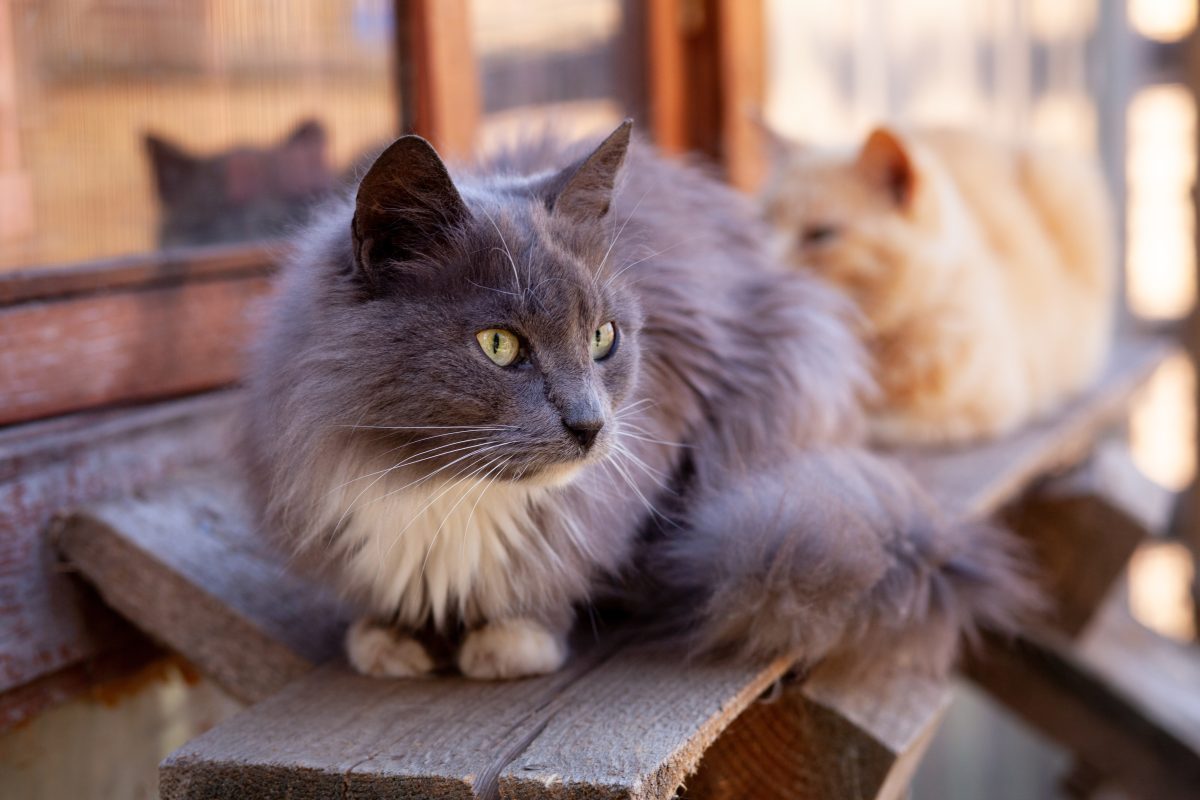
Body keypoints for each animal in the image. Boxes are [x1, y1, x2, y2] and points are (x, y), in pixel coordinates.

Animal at [241, 120, 1032, 681]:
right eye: (499, 345)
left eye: (603, 337)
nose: (590, 425)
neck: (437, 486)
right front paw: (389, 636)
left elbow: (554, 566)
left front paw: (514, 637)